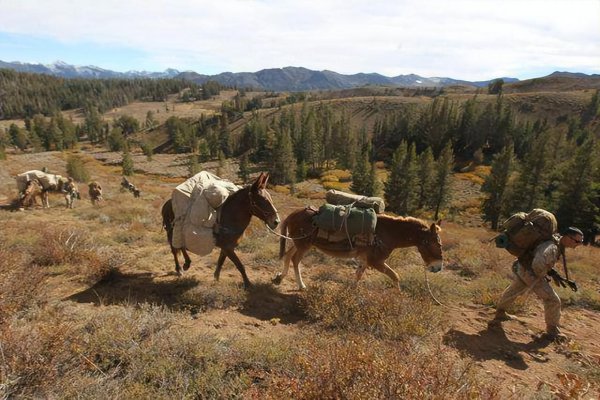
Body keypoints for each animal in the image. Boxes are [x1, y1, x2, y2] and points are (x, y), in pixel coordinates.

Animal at [274, 208, 442, 290]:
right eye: (436, 244)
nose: (438, 268)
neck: (389, 233)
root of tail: (293, 214)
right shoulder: (376, 262)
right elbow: (395, 276)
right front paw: (398, 297)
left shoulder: (365, 261)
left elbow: (358, 276)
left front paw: (351, 293)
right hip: (304, 245)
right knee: (295, 260)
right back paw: (301, 285)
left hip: (298, 243)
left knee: (288, 255)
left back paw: (279, 277)